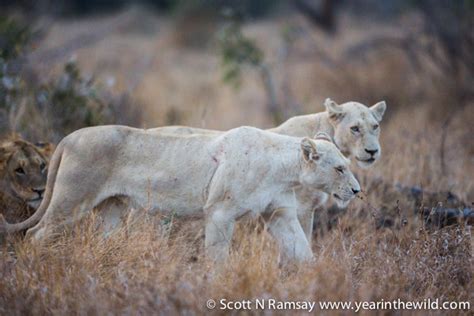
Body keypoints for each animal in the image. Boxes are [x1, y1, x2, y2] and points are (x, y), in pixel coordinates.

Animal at [0, 126, 360, 262]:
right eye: (340, 168)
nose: (357, 190)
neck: (283, 169)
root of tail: (69, 136)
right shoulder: (219, 213)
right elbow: (217, 258)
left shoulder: (279, 213)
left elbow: (303, 251)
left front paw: (319, 284)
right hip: (71, 200)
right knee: (36, 233)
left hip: (111, 209)